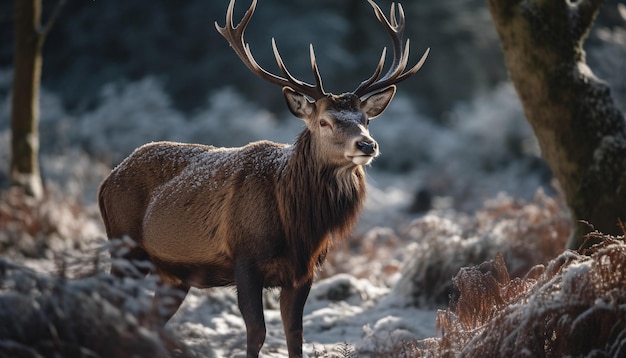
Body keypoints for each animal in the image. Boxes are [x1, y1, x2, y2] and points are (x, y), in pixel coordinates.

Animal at [97, 0, 426, 356]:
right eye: (324, 122)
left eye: (365, 119)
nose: (367, 144)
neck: (296, 222)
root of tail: (106, 182)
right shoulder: (245, 260)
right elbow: (256, 331)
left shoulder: (303, 271)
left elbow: (295, 333)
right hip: (124, 246)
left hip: (172, 274)